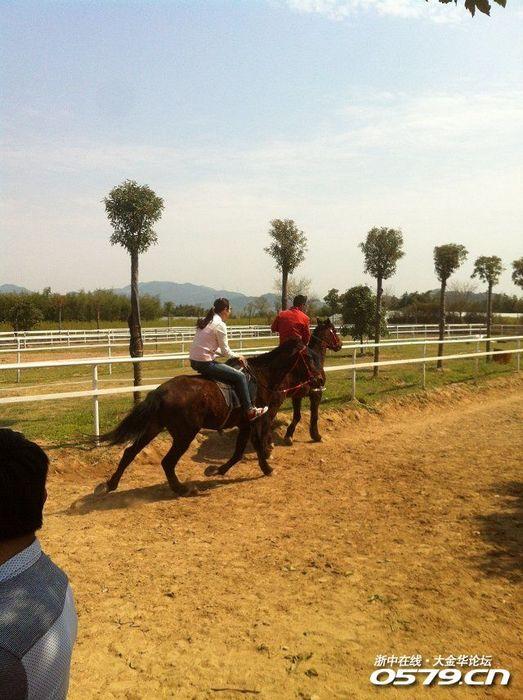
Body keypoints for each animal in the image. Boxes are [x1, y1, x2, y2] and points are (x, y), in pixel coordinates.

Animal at [95, 339, 321, 497]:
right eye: (309, 358)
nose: (319, 379)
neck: (262, 377)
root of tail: (160, 391)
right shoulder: (255, 420)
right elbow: (255, 445)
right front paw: (267, 468)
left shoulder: (244, 424)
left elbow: (238, 451)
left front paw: (216, 470)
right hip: (184, 435)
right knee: (167, 462)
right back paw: (182, 489)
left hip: (153, 427)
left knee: (130, 452)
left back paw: (111, 484)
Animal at [204, 319, 342, 479]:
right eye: (334, 330)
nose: (340, 344)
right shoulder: (315, 394)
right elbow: (314, 416)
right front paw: (316, 435)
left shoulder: (297, 396)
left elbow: (297, 416)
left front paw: (289, 436)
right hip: (275, 403)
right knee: (266, 425)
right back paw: (267, 449)